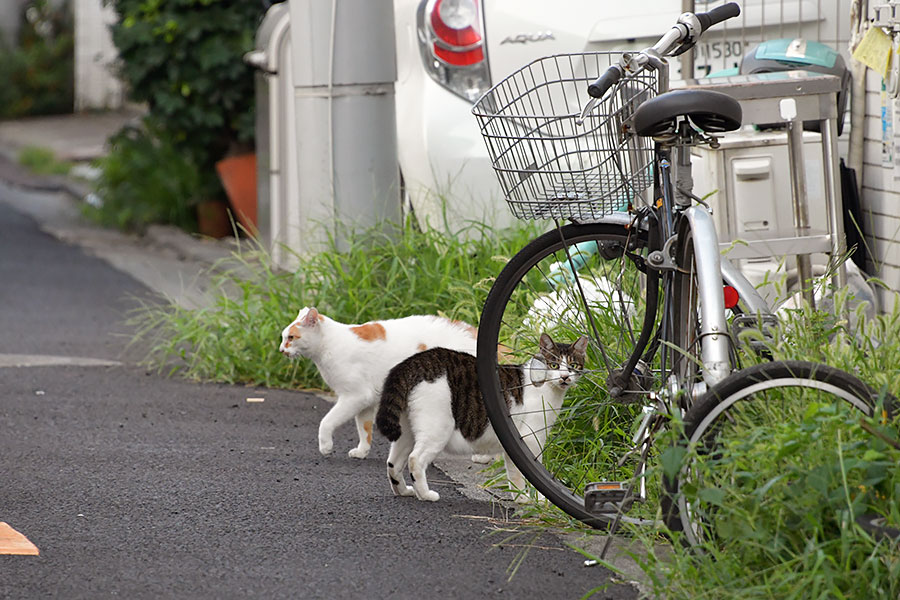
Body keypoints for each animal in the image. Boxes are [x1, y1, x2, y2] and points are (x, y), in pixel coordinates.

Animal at [280, 310, 478, 460]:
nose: (281, 350)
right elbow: (364, 429)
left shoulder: (355, 396)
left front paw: (326, 446)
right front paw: (362, 451)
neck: (329, 345)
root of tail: (472, 331)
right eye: (283, 338)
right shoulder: (365, 402)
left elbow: (327, 421)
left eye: (291, 337)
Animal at [374, 332, 592, 502]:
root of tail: (413, 362)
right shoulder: (529, 441)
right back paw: (426, 494)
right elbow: (526, 475)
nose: (565, 377)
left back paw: (403, 491)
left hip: (406, 431)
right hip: (437, 428)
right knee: (415, 459)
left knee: (393, 462)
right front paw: (531, 500)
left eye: (573, 365)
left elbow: (513, 473)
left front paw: (522, 499)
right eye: (553, 365)